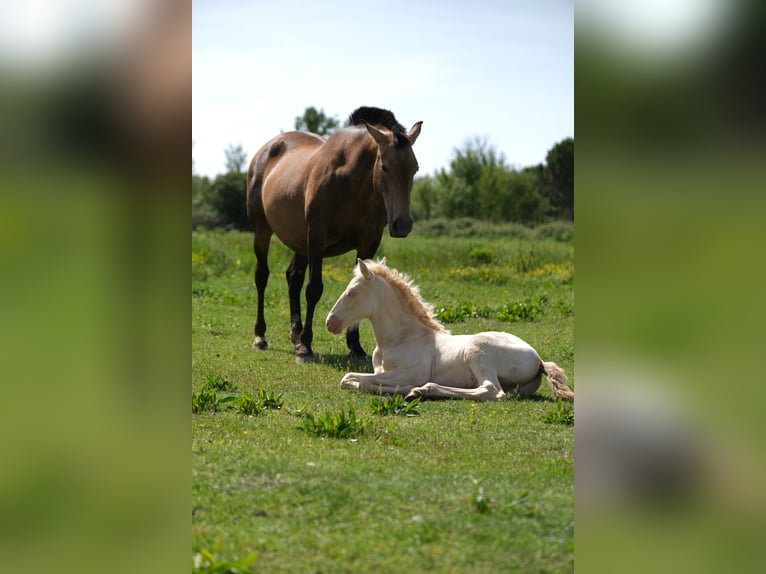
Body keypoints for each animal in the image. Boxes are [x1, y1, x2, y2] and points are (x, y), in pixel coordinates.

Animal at [246, 107, 422, 363]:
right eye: (384, 166)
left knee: (293, 277)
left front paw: (355, 346)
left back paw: (295, 332)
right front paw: (305, 347)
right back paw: (261, 336)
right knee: (262, 276)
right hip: (263, 232)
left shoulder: (368, 243)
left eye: (415, 168)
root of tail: (264, 151)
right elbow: (314, 289)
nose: (403, 224)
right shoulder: (316, 238)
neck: (352, 184)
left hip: (300, 243)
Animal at [325, 259, 574, 402]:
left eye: (352, 292)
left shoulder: (412, 372)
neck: (401, 339)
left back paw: (422, 390)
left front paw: (409, 388)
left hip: (478, 352)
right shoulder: (380, 371)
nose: (330, 322)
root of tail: (539, 360)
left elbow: (364, 383)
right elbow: (348, 379)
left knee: (491, 391)